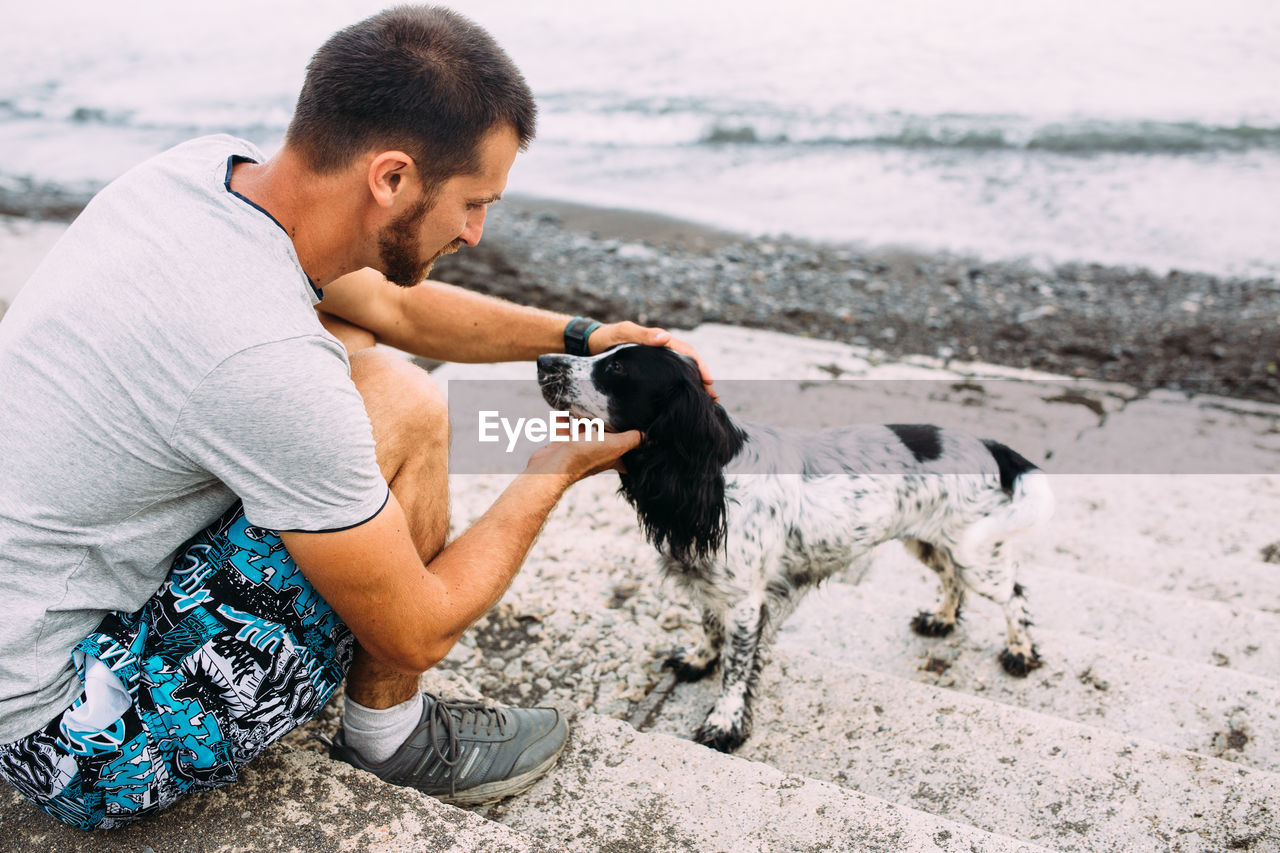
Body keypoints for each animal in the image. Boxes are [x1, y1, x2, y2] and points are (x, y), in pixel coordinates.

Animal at [535, 343, 1054, 747]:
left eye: (619, 370)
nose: (543, 360)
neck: (715, 471)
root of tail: (990, 446)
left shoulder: (746, 601)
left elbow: (737, 667)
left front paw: (725, 723)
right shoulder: (714, 583)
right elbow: (709, 629)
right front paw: (699, 661)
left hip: (976, 552)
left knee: (1013, 596)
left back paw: (1021, 653)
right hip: (928, 541)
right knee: (951, 580)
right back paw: (941, 619)